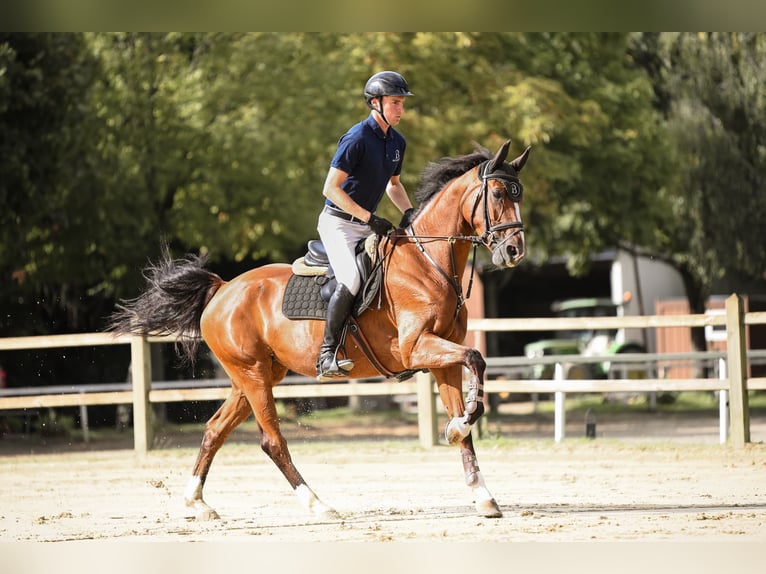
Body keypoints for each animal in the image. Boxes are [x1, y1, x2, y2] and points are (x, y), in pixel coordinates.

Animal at [109, 139, 530, 519]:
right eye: (496, 193)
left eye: (518, 194)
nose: (515, 251)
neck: (429, 263)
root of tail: (222, 288)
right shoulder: (418, 347)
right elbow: (477, 359)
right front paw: (460, 427)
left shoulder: (443, 358)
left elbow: (467, 407)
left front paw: (481, 490)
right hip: (253, 374)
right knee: (271, 440)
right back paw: (317, 504)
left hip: (253, 375)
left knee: (215, 430)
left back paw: (196, 502)